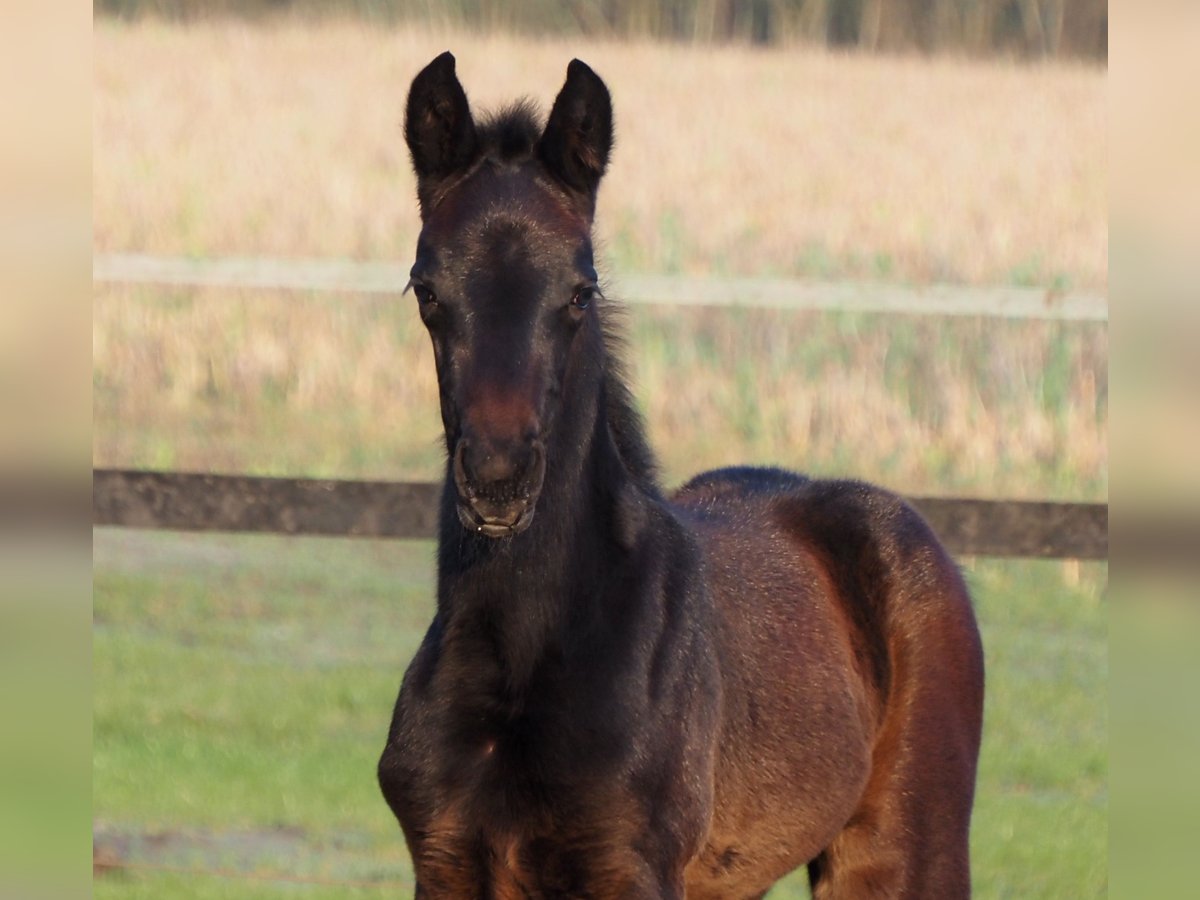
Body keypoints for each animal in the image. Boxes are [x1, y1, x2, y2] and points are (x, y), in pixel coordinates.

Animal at [381, 52, 984, 897]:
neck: (520, 661)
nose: (498, 478)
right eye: (427, 289)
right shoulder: (446, 862)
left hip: (902, 850)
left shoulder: (627, 867)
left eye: (581, 291)